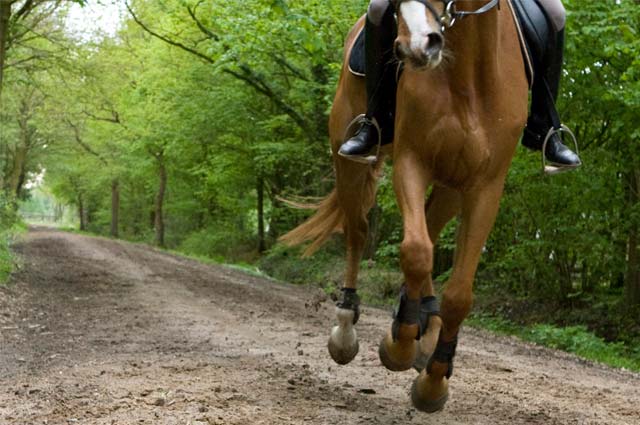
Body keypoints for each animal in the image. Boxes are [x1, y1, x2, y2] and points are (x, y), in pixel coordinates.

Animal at [282, 0, 528, 410]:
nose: (416, 46)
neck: (466, 73)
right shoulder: (413, 162)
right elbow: (415, 251)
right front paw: (398, 344)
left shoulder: (484, 186)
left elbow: (458, 293)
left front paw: (434, 379)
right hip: (349, 158)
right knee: (358, 231)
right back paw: (348, 327)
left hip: (451, 185)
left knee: (428, 227)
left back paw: (425, 331)